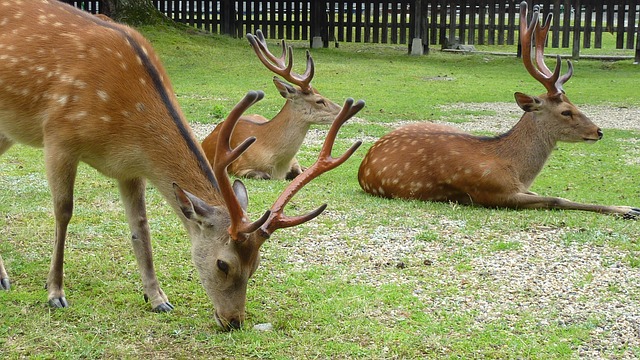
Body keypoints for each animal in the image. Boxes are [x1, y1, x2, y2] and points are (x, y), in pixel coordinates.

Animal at [201, 29, 344, 180]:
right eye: (319, 101)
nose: (342, 111)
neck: (278, 164)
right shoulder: (239, 167)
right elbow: (264, 175)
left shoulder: (294, 162)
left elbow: (300, 172)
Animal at [358, 2, 640, 219]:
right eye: (566, 111)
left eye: (576, 105)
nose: (598, 131)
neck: (514, 169)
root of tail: (365, 160)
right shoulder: (494, 192)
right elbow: (556, 199)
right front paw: (627, 209)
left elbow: (554, 195)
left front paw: (628, 207)